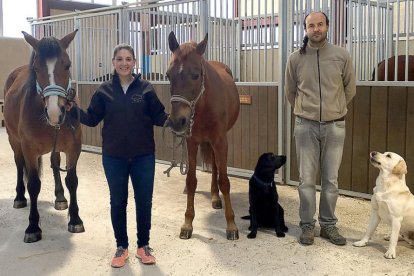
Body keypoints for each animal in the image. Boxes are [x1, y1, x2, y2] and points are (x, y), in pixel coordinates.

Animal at [3, 29, 84, 242]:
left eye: (67, 65)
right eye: (36, 68)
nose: (56, 112)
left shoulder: (74, 147)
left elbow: (72, 180)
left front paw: (75, 219)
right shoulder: (29, 150)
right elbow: (33, 184)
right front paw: (32, 226)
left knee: (55, 164)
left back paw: (60, 198)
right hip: (14, 142)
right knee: (19, 165)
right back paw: (19, 198)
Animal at [167, 31, 241, 239]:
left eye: (196, 75)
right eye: (168, 75)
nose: (177, 121)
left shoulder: (221, 142)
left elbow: (224, 180)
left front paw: (231, 225)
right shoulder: (192, 142)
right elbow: (191, 180)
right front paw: (187, 223)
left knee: (215, 167)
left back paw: (215, 198)